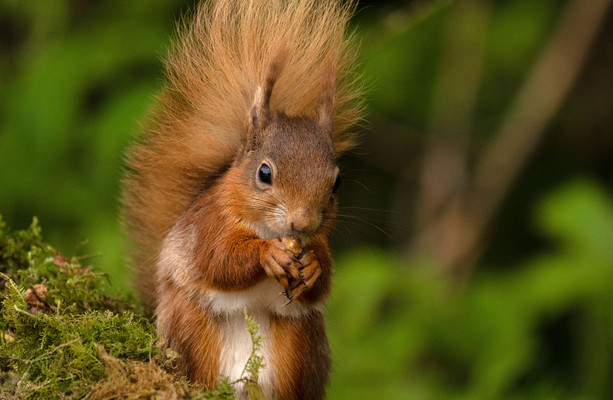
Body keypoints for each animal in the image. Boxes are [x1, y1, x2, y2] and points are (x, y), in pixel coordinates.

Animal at [120, 1, 364, 398]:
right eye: (264, 173)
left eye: (337, 182)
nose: (303, 223)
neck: (268, 229)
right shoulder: (208, 224)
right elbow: (220, 260)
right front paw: (268, 255)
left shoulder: (321, 240)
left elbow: (323, 282)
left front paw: (312, 266)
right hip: (192, 326)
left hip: (300, 339)